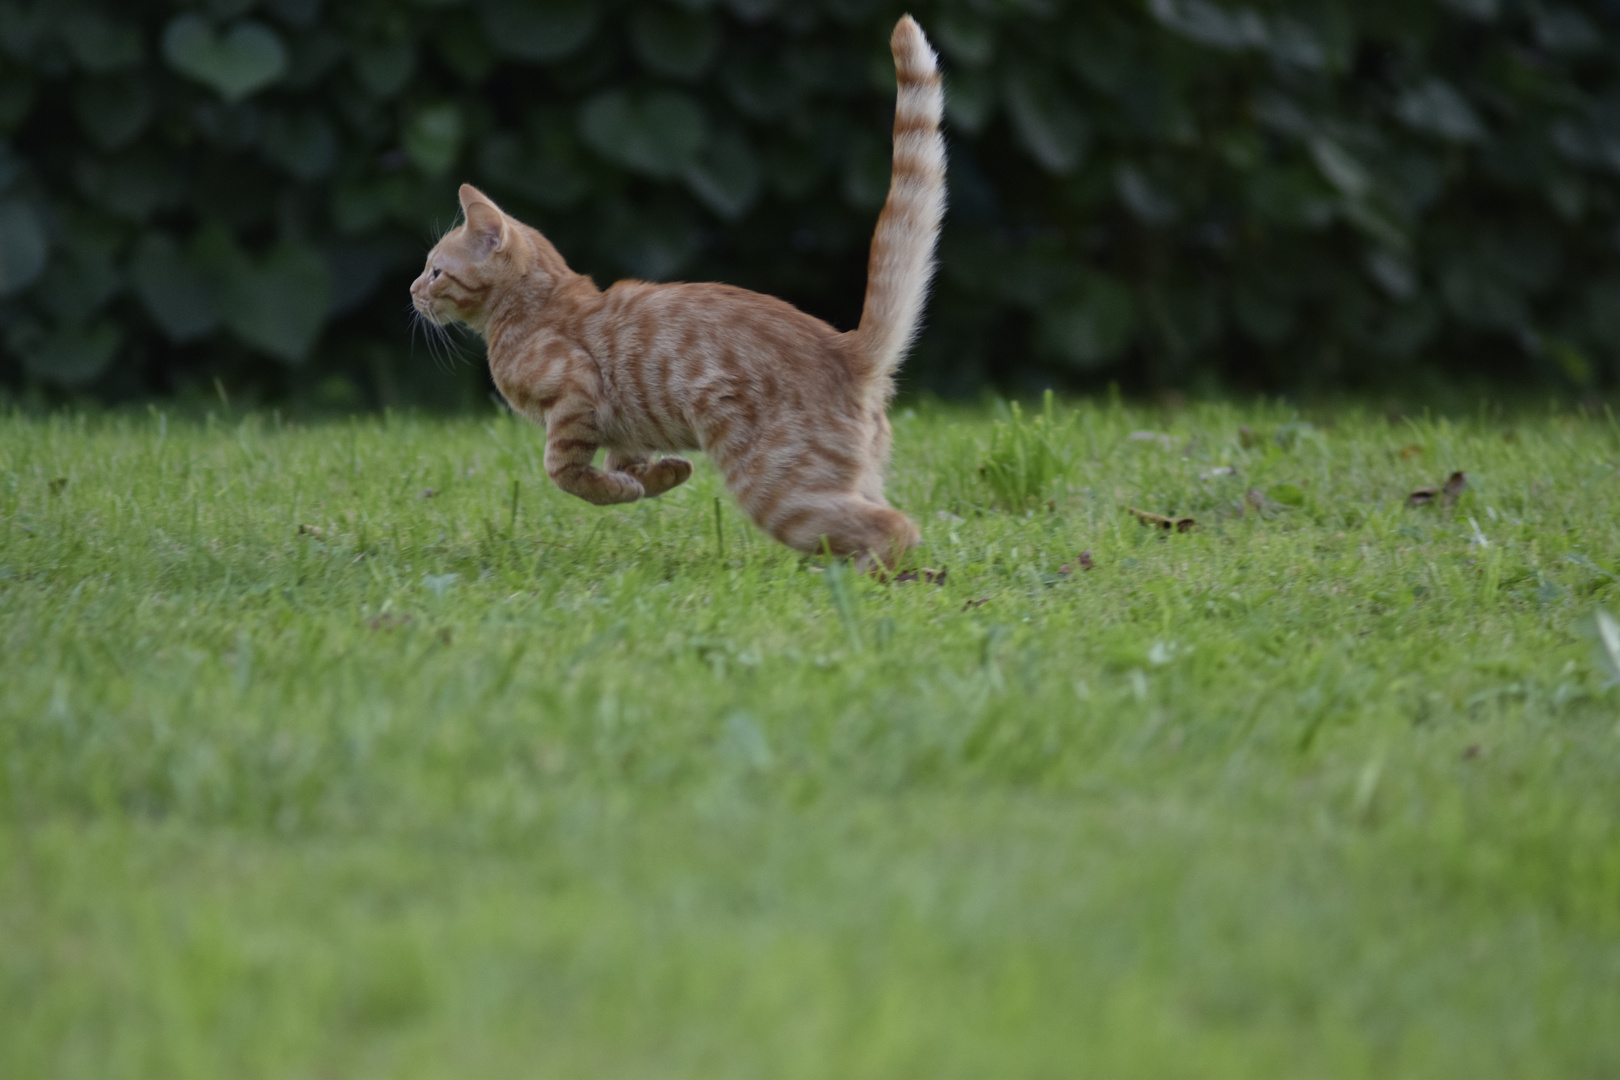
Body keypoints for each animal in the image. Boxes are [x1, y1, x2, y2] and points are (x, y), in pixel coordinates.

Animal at [411, 16, 946, 569]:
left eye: (435, 272)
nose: (411, 291)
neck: (533, 309)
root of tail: (846, 348)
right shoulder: (625, 430)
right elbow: (633, 464)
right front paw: (659, 476)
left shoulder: (576, 392)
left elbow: (566, 473)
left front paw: (616, 488)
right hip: (849, 478)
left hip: (782, 490)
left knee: (893, 527)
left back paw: (859, 575)